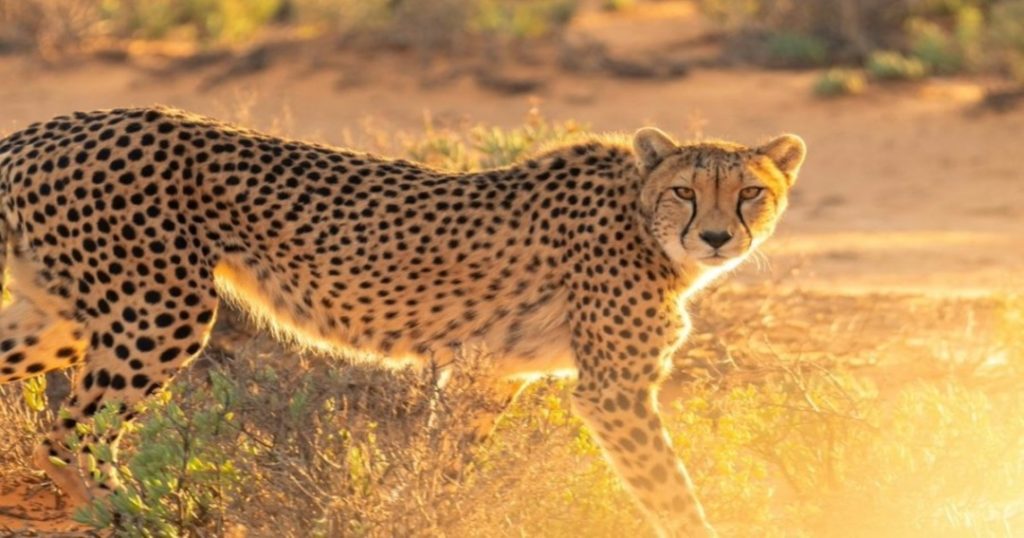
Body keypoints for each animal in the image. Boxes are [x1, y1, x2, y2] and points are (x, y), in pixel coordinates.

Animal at [0, 106, 805, 537]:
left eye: (750, 193)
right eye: (685, 190)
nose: (717, 237)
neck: (642, 216)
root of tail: (47, 128)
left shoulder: (490, 375)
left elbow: (445, 466)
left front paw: (420, 513)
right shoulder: (614, 390)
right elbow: (670, 487)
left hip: (65, 316)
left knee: (52, 415)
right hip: (159, 311)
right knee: (73, 429)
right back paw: (133, 513)